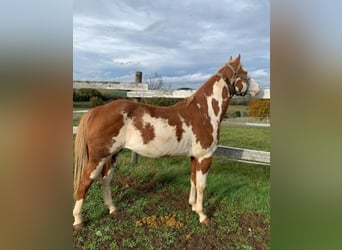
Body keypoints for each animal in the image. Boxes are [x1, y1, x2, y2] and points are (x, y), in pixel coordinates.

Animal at [72, 54, 260, 229]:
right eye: (245, 73)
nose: (258, 90)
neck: (203, 112)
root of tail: (96, 111)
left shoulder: (194, 157)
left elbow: (192, 180)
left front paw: (192, 206)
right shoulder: (205, 157)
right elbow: (201, 185)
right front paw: (202, 215)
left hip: (113, 154)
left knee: (106, 180)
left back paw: (113, 209)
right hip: (98, 157)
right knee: (84, 183)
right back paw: (78, 220)